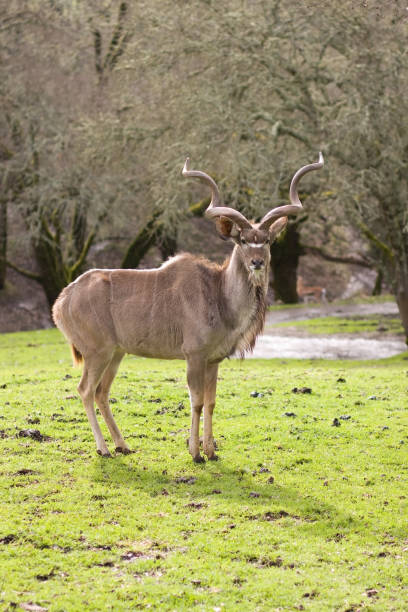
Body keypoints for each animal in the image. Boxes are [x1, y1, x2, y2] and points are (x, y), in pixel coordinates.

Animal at [52, 155, 324, 462]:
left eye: (266, 240)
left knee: (101, 392)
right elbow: (197, 401)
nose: (257, 262)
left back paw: (123, 445)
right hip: (97, 352)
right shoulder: (194, 355)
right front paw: (195, 453)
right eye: (242, 240)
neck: (218, 294)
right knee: (85, 389)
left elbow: (212, 401)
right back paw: (104, 448)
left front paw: (211, 451)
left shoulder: (213, 360)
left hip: (116, 353)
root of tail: (62, 300)